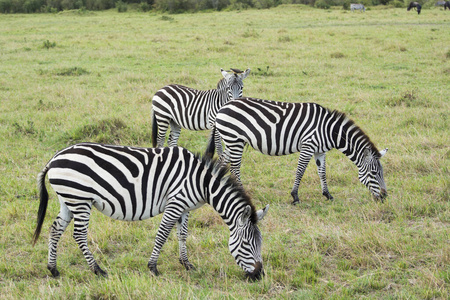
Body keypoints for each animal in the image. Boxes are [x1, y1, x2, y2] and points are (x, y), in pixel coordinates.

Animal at [33, 142, 270, 278]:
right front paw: (153, 267)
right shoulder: (175, 203)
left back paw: (53, 269)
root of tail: (54, 158)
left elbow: (182, 235)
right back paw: (97, 270)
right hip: (80, 200)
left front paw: (186, 264)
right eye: (247, 244)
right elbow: (163, 234)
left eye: (260, 243)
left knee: (55, 229)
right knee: (79, 234)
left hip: (68, 200)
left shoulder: (185, 208)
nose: (259, 275)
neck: (201, 183)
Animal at [206, 98, 388, 204]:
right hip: (234, 139)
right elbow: (300, 171)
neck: (328, 130)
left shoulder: (320, 151)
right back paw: (240, 191)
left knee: (222, 161)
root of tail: (223, 107)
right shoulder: (308, 146)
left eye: (382, 173)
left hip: (234, 141)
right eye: (374, 173)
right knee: (235, 166)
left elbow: (322, 172)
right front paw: (295, 196)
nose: (384, 197)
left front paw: (327, 195)